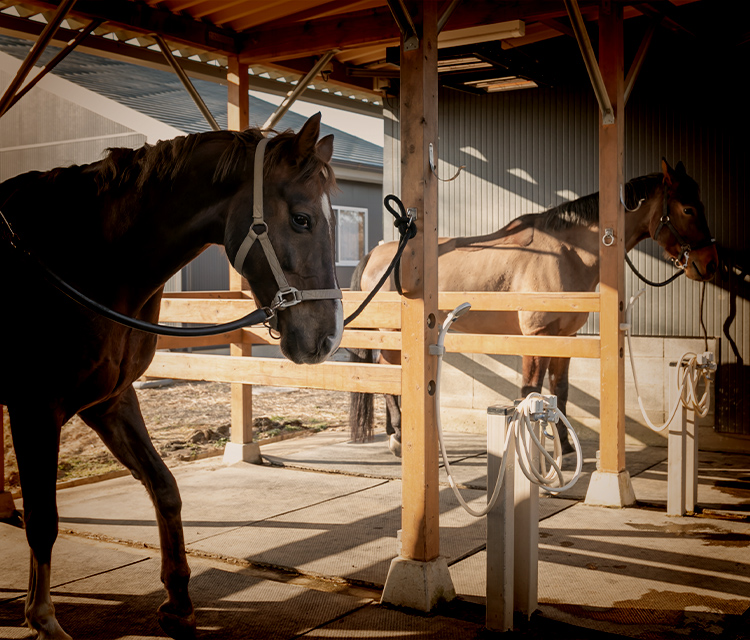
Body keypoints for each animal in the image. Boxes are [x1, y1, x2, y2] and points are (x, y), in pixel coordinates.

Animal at [2, 115, 344, 640]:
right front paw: (43, 618)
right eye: (302, 219)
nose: (327, 337)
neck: (84, 256)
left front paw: (179, 601)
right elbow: (43, 517)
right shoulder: (35, 409)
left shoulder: (111, 401)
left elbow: (164, 487)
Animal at [352, 162, 724, 458]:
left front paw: (566, 444)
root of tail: (375, 254)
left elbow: (561, 390)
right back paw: (399, 437)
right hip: (392, 334)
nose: (710, 264)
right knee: (386, 376)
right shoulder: (536, 337)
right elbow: (530, 390)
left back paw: (394, 433)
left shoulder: (565, 337)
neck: (568, 253)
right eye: (688, 209)